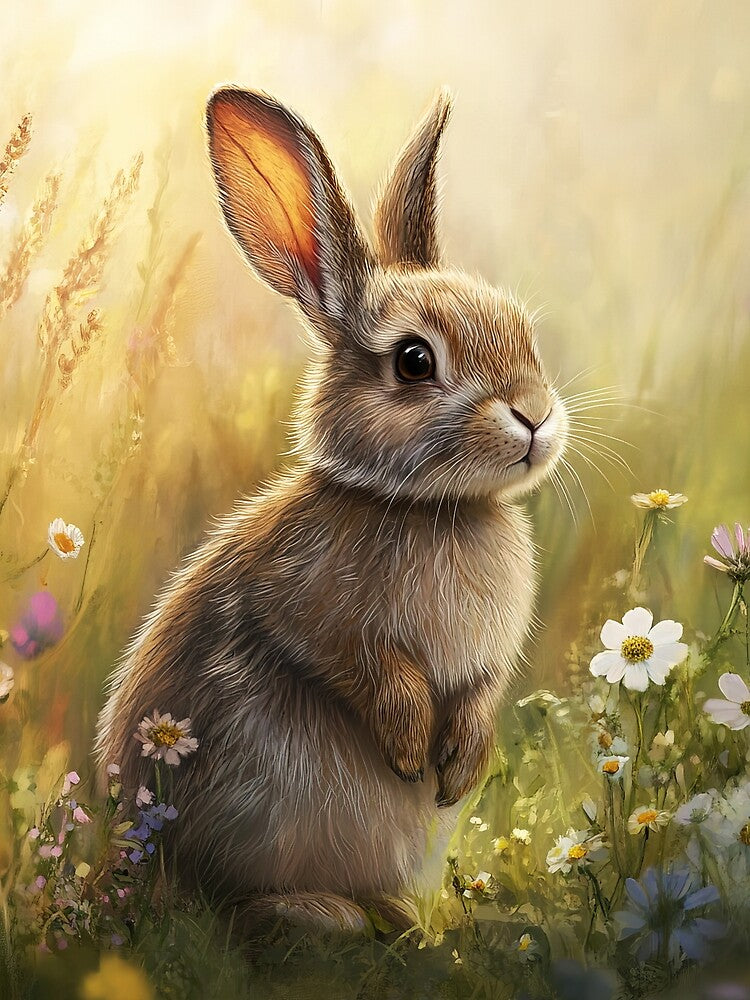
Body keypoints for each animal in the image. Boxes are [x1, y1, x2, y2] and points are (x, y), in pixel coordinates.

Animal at [94, 85, 568, 934]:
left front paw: (461, 764)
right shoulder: (310, 609)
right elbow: (367, 669)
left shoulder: (487, 662)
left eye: (524, 334)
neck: (430, 507)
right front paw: (412, 751)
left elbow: (478, 698)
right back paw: (322, 913)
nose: (536, 417)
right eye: (414, 361)